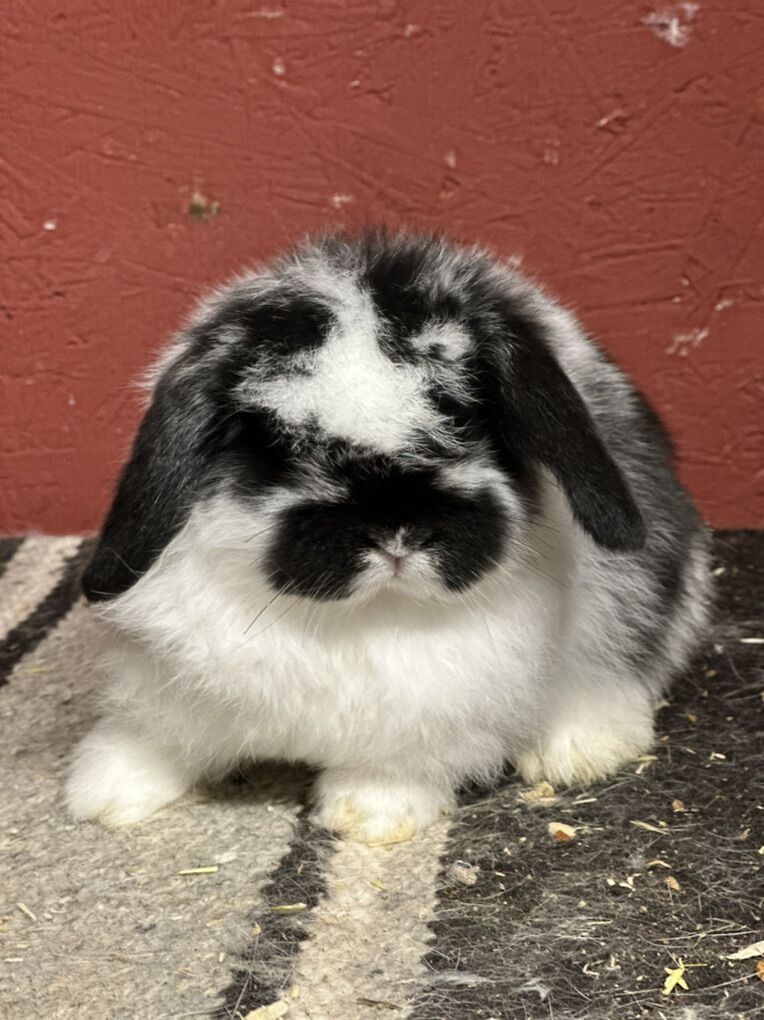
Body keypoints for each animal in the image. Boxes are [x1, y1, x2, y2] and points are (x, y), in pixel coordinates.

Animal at [65, 229, 711, 844]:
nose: (396, 532)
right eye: (278, 443)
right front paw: (102, 793)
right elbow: (158, 736)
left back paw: (580, 750)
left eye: (467, 419)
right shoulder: (169, 680)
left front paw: (369, 816)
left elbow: (392, 768)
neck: (355, 619)